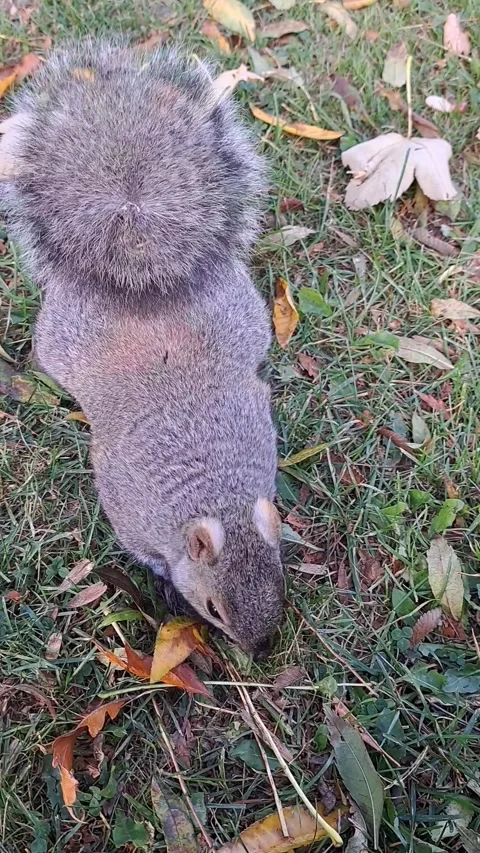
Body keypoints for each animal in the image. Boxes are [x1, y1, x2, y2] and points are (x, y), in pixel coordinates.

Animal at [0, 40, 284, 658]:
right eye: (213, 611)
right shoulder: (134, 514)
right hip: (60, 341)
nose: (255, 654)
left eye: (280, 584)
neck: (214, 497)